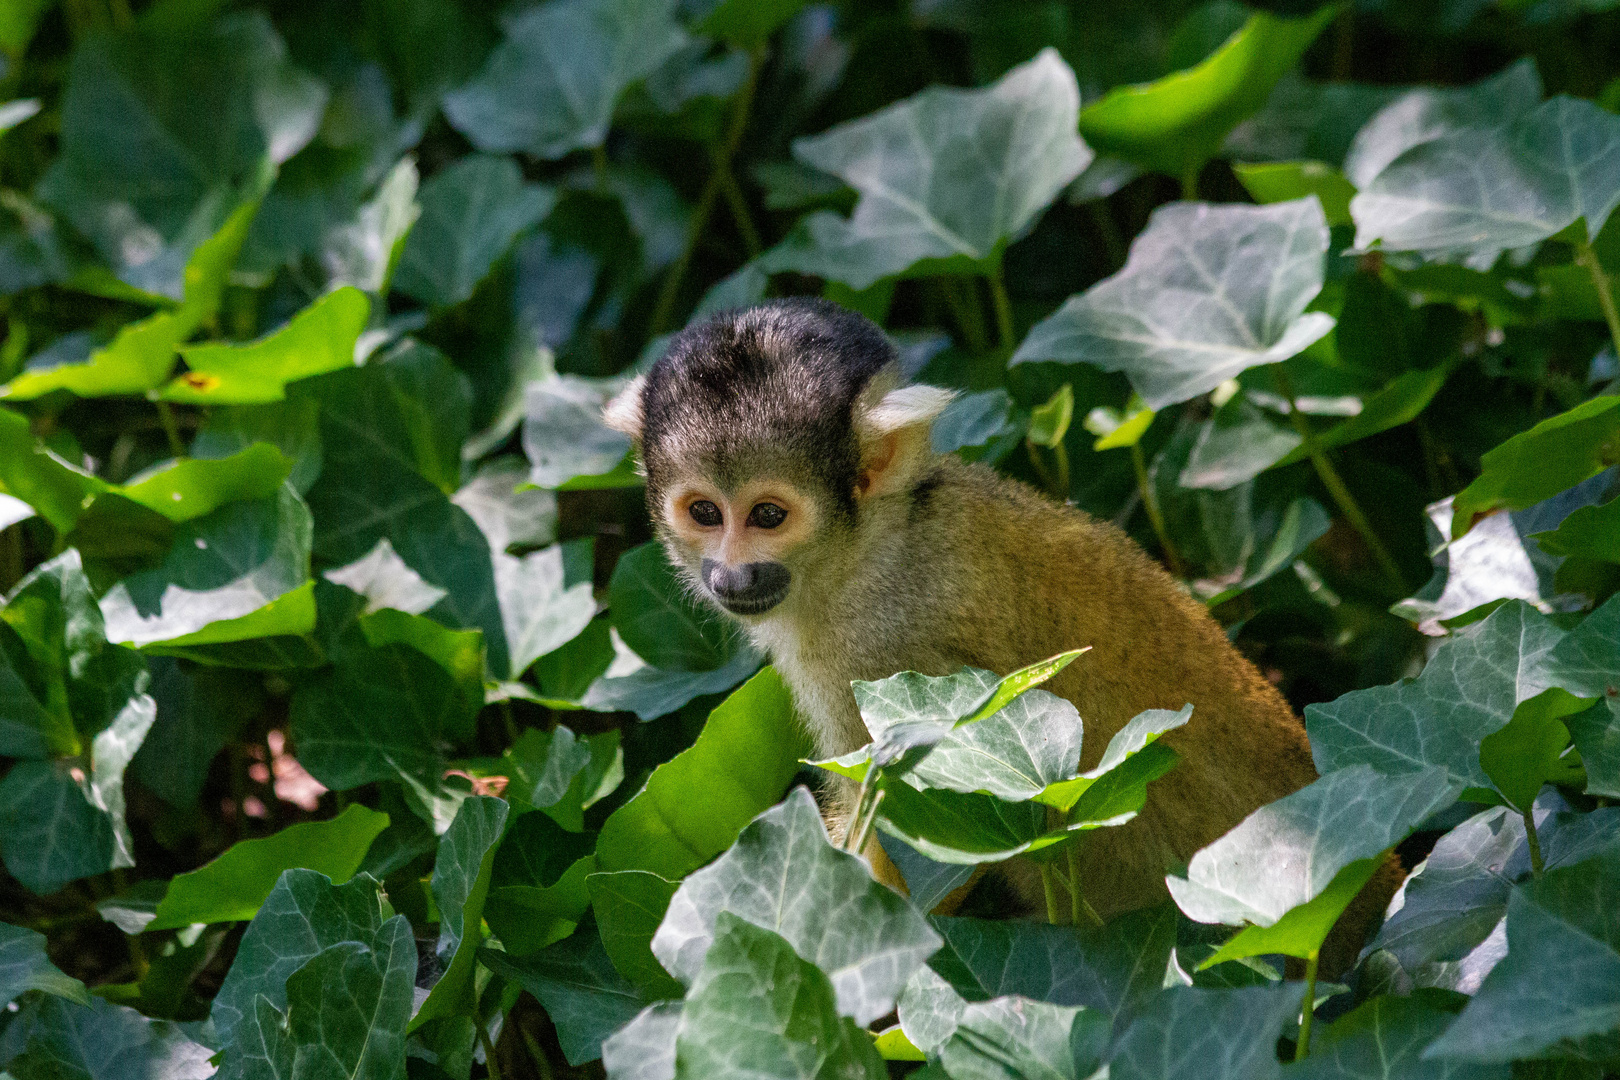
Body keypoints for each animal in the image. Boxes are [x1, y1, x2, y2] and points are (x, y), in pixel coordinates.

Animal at [602, 299, 1399, 977]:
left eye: (768, 515)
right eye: (705, 512)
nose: (730, 574)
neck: (870, 547)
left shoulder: (885, 656)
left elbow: (916, 841)